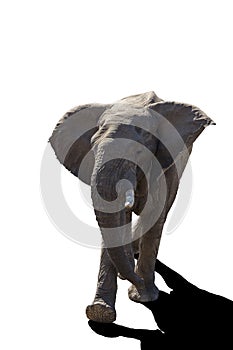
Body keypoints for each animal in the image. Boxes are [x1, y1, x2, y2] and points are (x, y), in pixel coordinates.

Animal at [49, 90, 215, 322]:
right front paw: (100, 312)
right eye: (93, 149)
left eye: (138, 153)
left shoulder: (163, 165)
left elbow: (154, 214)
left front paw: (143, 297)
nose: (138, 281)